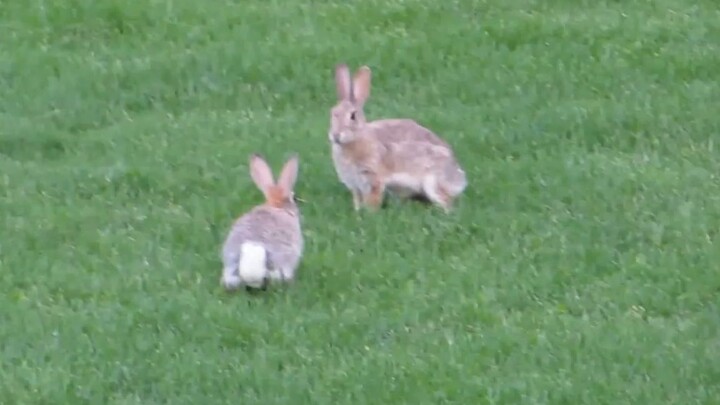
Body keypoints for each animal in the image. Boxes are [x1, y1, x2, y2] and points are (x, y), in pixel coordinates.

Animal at [329, 63, 467, 212]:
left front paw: (370, 213)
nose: (336, 135)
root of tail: (459, 178)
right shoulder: (355, 185)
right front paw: (358, 212)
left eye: (353, 116)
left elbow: (372, 200)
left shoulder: (373, 179)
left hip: (432, 182)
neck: (356, 139)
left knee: (447, 201)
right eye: (333, 113)